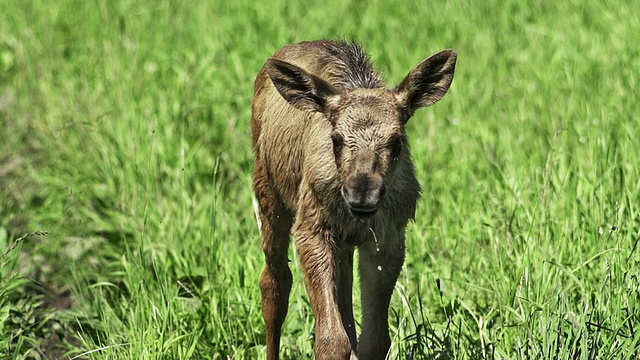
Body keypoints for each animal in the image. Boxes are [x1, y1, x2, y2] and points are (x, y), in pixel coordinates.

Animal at [250, 40, 456, 360]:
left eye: (397, 140)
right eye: (336, 139)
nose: (362, 194)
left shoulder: (387, 237)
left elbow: (374, 340)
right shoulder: (311, 228)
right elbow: (331, 339)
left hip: (344, 243)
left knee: (345, 304)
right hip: (269, 196)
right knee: (275, 282)